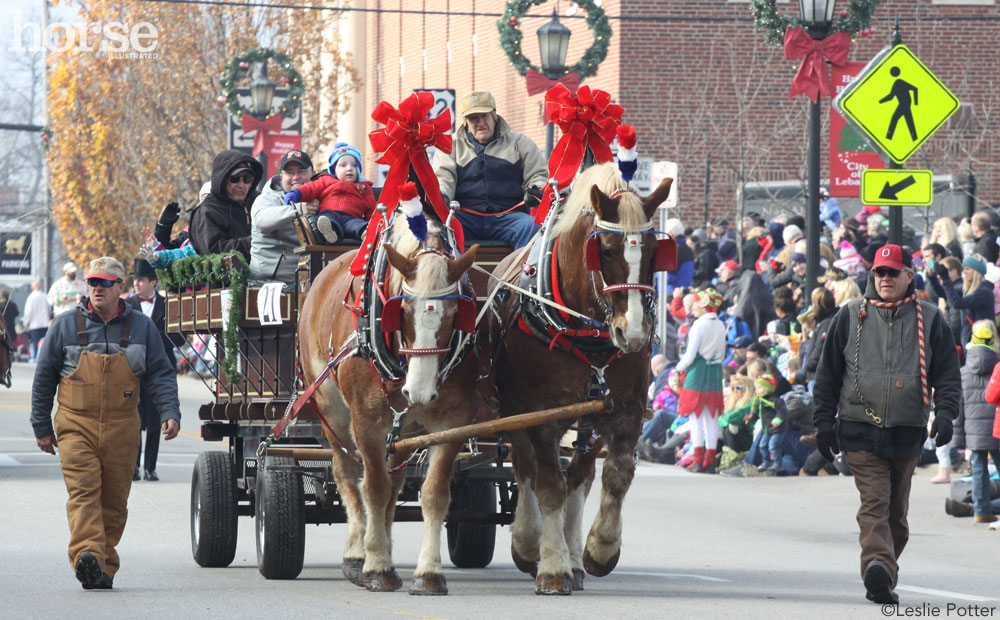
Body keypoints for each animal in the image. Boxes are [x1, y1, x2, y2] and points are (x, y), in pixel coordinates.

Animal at [296, 216, 480, 592]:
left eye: (457, 311)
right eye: (402, 310)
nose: (419, 392)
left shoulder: (452, 423)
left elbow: (433, 493)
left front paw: (428, 573)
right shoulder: (366, 423)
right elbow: (374, 488)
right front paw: (377, 566)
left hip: (404, 429)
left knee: (394, 483)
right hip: (331, 410)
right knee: (348, 475)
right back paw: (357, 554)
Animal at [486, 163, 672, 596]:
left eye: (654, 252)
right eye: (605, 249)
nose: (632, 333)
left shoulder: (624, 409)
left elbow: (616, 475)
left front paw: (599, 549)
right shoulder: (541, 415)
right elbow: (549, 484)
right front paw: (552, 566)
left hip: (585, 425)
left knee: (580, 477)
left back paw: (573, 558)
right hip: (514, 412)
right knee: (526, 469)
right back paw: (529, 543)